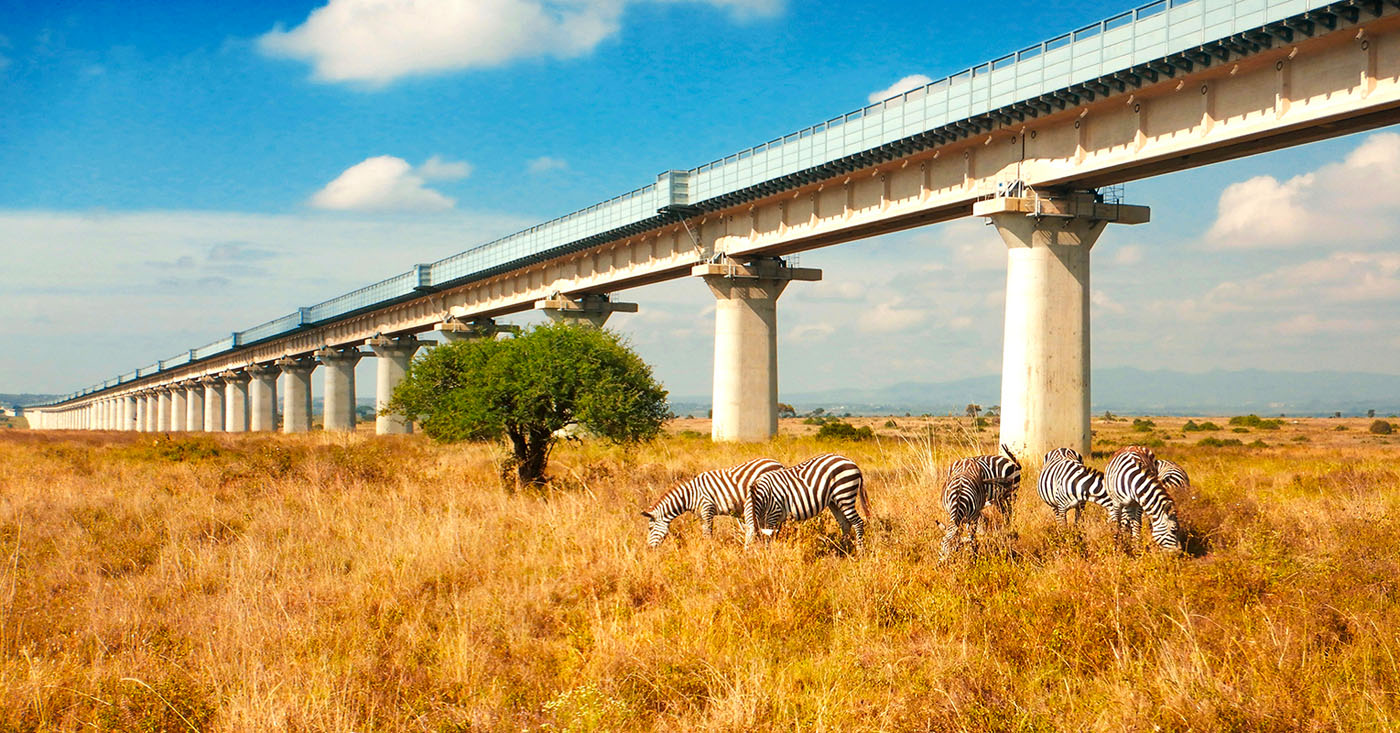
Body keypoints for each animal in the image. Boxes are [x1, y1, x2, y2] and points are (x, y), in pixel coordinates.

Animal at [641, 456, 784, 545]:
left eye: (650, 528)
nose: (649, 548)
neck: (691, 495)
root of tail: (778, 463)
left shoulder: (707, 509)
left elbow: (707, 533)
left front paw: (708, 551)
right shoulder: (701, 514)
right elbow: (705, 531)